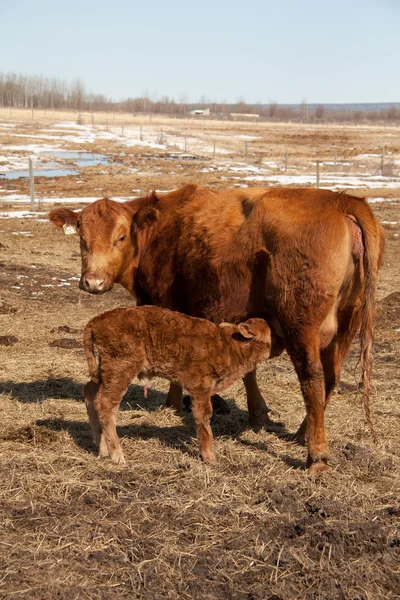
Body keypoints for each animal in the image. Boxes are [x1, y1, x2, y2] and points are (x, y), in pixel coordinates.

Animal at [84, 304, 272, 464]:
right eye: (269, 334)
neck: (229, 344)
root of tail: (97, 320)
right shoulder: (200, 388)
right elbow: (204, 417)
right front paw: (209, 458)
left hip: (103, 371)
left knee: (90, 393)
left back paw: (101, 448)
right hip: (120, 370)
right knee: (106, 404)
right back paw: (117, 455)